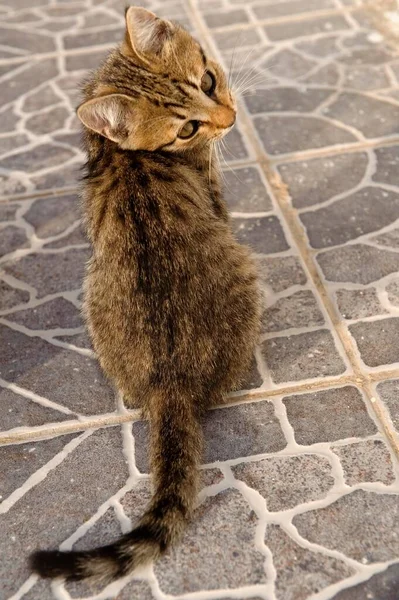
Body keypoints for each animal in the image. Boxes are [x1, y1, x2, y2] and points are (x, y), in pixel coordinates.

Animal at [32, 4, 262, 584]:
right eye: (187, 128)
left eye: (208, 81)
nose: (229, 119)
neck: (120, 150)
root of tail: (169, 385)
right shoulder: (215, 196)